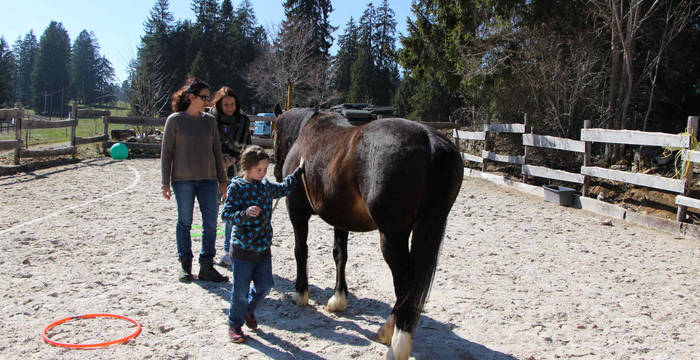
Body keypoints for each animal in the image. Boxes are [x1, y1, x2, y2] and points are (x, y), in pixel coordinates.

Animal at [274, 107, 464, 360]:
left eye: (274, 133)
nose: (276, 173)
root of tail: (430, 140)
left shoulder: (296, 212)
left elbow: (300, 250)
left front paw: (300, 294)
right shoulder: (340, 218)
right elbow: (340, 255)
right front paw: (337, 300)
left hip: (393, 237)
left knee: (405, 283)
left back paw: (396, 342)